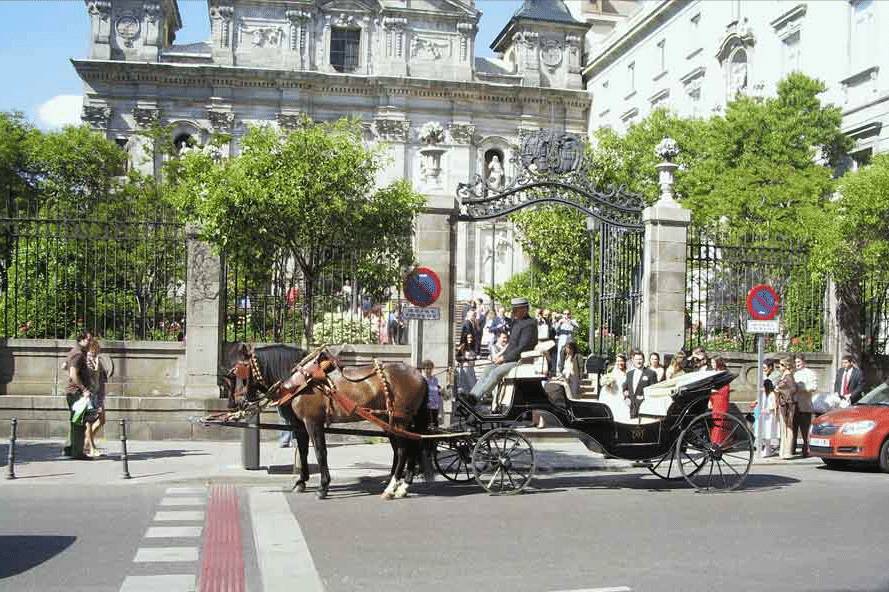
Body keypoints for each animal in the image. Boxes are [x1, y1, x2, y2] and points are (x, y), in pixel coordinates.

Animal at [224, 342, 428, 500]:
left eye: (239, 372)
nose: (237, 403)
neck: (299, 382)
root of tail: (420, 375)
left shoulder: (313, 422)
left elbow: (320, 452)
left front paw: (323, 487)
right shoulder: (300, 425)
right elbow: (304, 452)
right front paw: (301, 482)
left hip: (399, 420)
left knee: (403, 450)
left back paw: (392, 487)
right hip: (390, 420)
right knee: (409, 448)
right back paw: (402, 485)